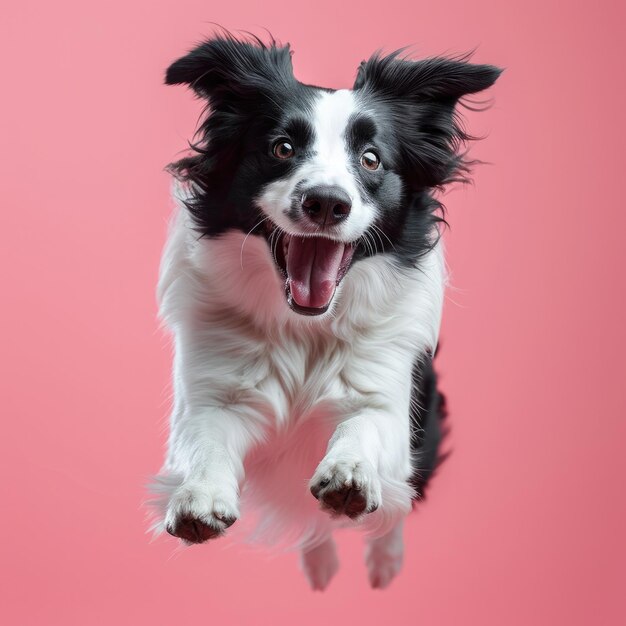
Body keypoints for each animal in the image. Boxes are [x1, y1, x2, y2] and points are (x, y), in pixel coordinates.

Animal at [150, 33, 498, 588]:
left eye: (372, 159)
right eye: (282, 148)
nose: (327, 202)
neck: (304, 329)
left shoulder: (386, 398)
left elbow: (363, 427)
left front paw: (350, 474)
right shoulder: (210, 395)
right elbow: (206, 439)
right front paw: (199, 495)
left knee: (395, 512)